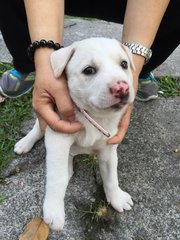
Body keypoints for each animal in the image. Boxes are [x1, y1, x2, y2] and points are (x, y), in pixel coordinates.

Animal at [14, 37, 135, 231]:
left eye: (124, 64)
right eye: (89, 70)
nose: (122, 88)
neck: (95, 116)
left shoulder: (109, 147)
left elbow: (111, 175)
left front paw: (117, 197)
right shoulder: (58, 138)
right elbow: (57, 177)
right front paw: (54, 211)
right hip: (45, 119)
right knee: (38, 128)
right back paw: (25, 143)